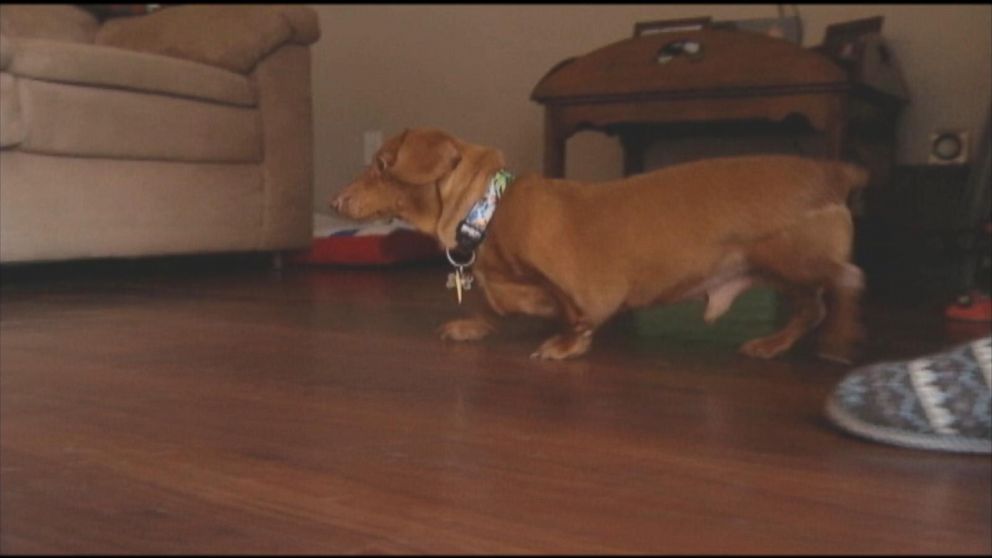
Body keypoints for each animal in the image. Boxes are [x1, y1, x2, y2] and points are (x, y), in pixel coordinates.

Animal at [330, 127, 864, 364]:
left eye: (381, 164)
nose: (335, 200)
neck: (490, 208)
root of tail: (833, 173)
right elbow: (493, 302)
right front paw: (470, 325)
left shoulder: (585, 290)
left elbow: (564, 310)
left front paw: (565, 342)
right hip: (779, 270)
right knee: (811, 307)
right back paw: (775, 343)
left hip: (788, 256)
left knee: (846, 283)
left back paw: (838, 341)